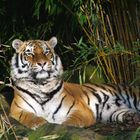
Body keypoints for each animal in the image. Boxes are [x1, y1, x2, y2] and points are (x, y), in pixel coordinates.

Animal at [9, 37, 140, 129]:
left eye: (46, 52)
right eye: (30, 53)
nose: (42, 63)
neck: (41, 84)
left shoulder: (80, 110)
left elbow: (69, 123)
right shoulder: (17, 109)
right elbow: (29, 117)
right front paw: (41, 123)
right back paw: (132, 118)